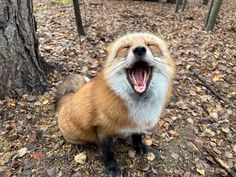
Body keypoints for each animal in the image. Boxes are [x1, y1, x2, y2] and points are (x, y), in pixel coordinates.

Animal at [55, 32, 175, 176]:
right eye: (125, 47)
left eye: (151, 45)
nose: (139, 49)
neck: (138, 105)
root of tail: (65, 102)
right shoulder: (103, 128)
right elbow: (108, 152)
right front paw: (111, 167)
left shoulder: (137, 123)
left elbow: (137, 136)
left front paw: (139, 146)